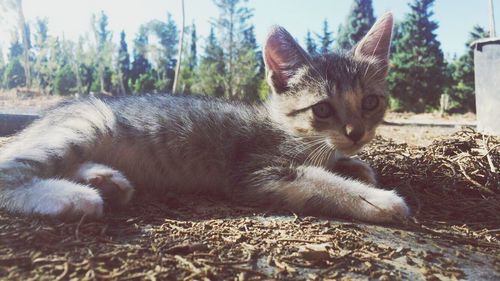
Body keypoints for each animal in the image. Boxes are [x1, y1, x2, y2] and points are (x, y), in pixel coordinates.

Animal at [0, 13, 408, 223]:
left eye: (370, 102)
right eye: (322, 109)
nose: (356, 133)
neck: (289, 128)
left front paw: (355, 165)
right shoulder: (256, 172)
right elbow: (322, 182)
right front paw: (380, 199)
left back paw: (105, 181)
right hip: (88, 124)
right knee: (10, 169)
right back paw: (72, 196)